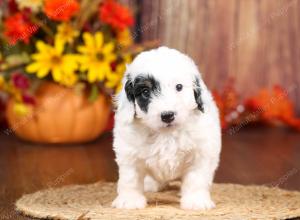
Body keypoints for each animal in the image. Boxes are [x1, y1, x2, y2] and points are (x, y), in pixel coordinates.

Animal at [111, 46, 221, 210]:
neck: (166, 134)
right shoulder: (129, 152)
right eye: (145, 92)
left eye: (179, 87)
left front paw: (196, 201)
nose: (167, 115)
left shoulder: (201, 153)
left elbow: (196, 178)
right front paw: (129, 200)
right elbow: (130, 178)